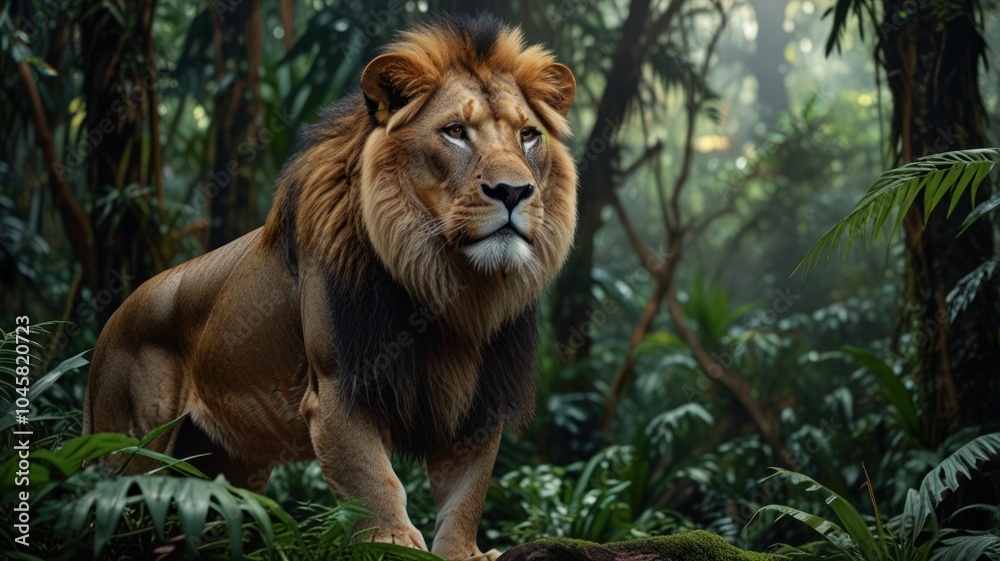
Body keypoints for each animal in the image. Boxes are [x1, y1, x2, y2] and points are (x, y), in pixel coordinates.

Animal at [82, 12, 576, 560]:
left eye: (528, 135)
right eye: (454, 132)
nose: (514, 191)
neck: (450, 286)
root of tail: (110, 323)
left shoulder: (479, 402)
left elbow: (467, 492)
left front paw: (462, 553)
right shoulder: (340, 384)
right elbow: (371, 478)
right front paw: (392, 542)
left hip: (223, 465)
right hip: (132, 448)